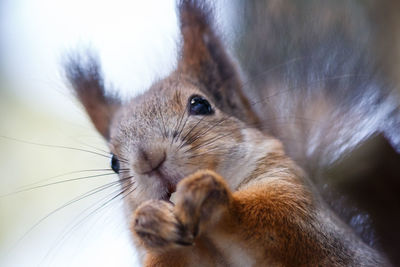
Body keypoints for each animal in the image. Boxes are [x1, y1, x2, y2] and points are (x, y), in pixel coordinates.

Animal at [64, 0, 398, 266]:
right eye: (113, 162)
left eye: (200, 105)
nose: (149, 159)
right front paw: (149, 223)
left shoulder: (299, 201)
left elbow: (281, 220)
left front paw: (211, 196)